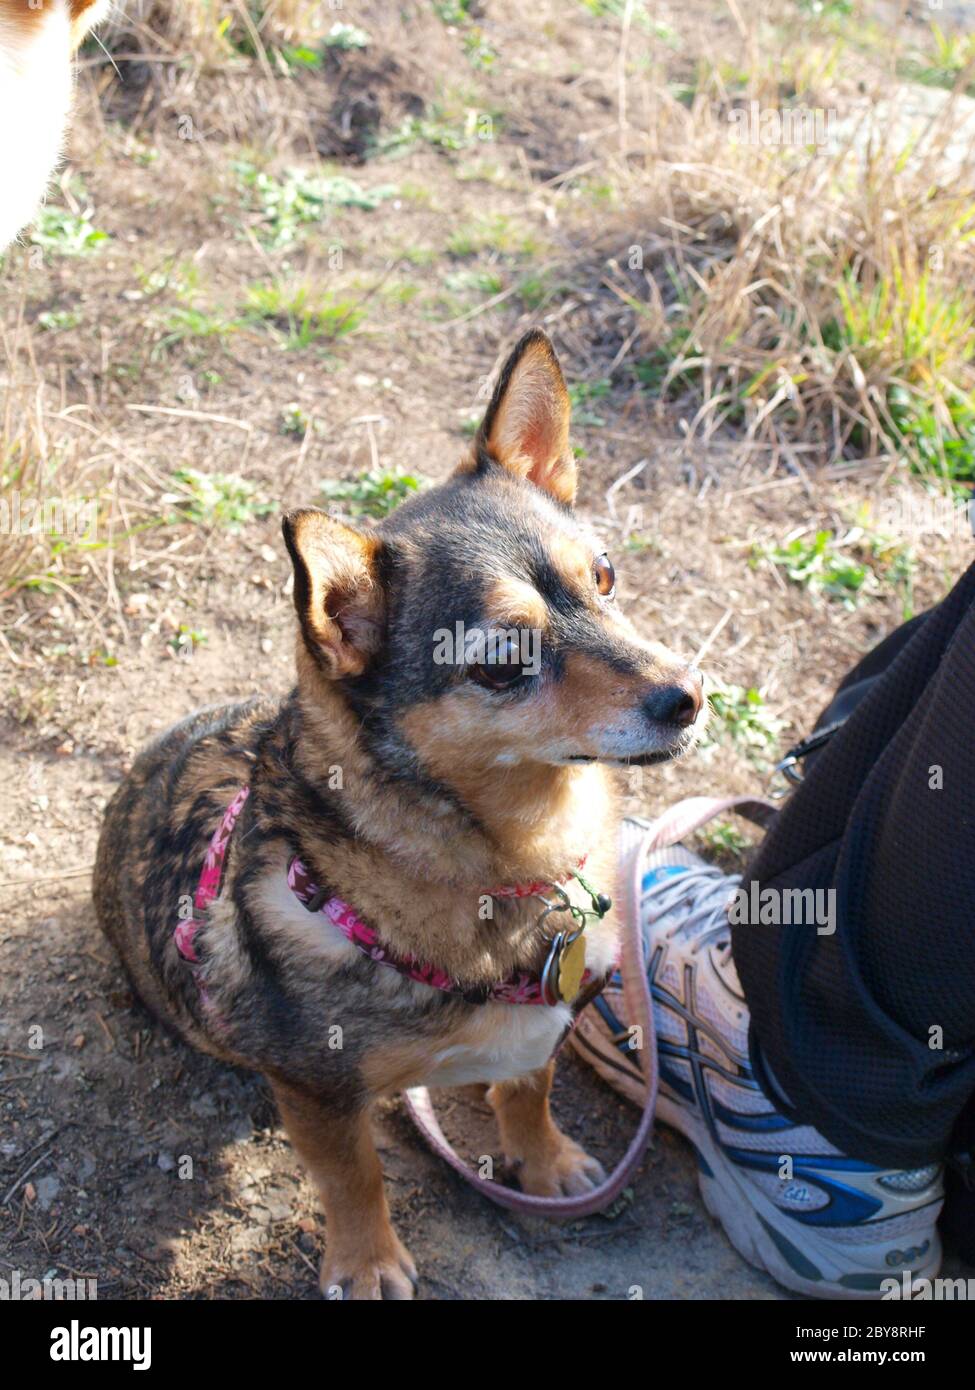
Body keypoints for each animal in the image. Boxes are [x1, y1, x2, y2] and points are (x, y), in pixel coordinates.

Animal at [93, 330, 700, 1295]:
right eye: (500, 662)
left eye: (604, 576)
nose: (689, 696)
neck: (512, 855)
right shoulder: (319, 1091)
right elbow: (353, 1175)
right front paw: (367, 1260)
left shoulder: (541, 1024)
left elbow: (528, 1086)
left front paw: (543, 1158)